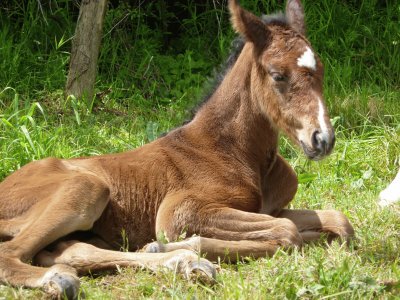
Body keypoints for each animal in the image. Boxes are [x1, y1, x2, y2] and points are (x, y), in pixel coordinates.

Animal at [0, 0, 354, 298]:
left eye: (321, 70)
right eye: (277, 75)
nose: (322, 139)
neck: (235, 151)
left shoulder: (269, 208)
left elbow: (338, 222)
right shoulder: (179, 211)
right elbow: (287, 231)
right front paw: (173, 246)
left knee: (73, 251)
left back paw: (184, 265)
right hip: (85, 187)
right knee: (11, 253)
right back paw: (59, 280)